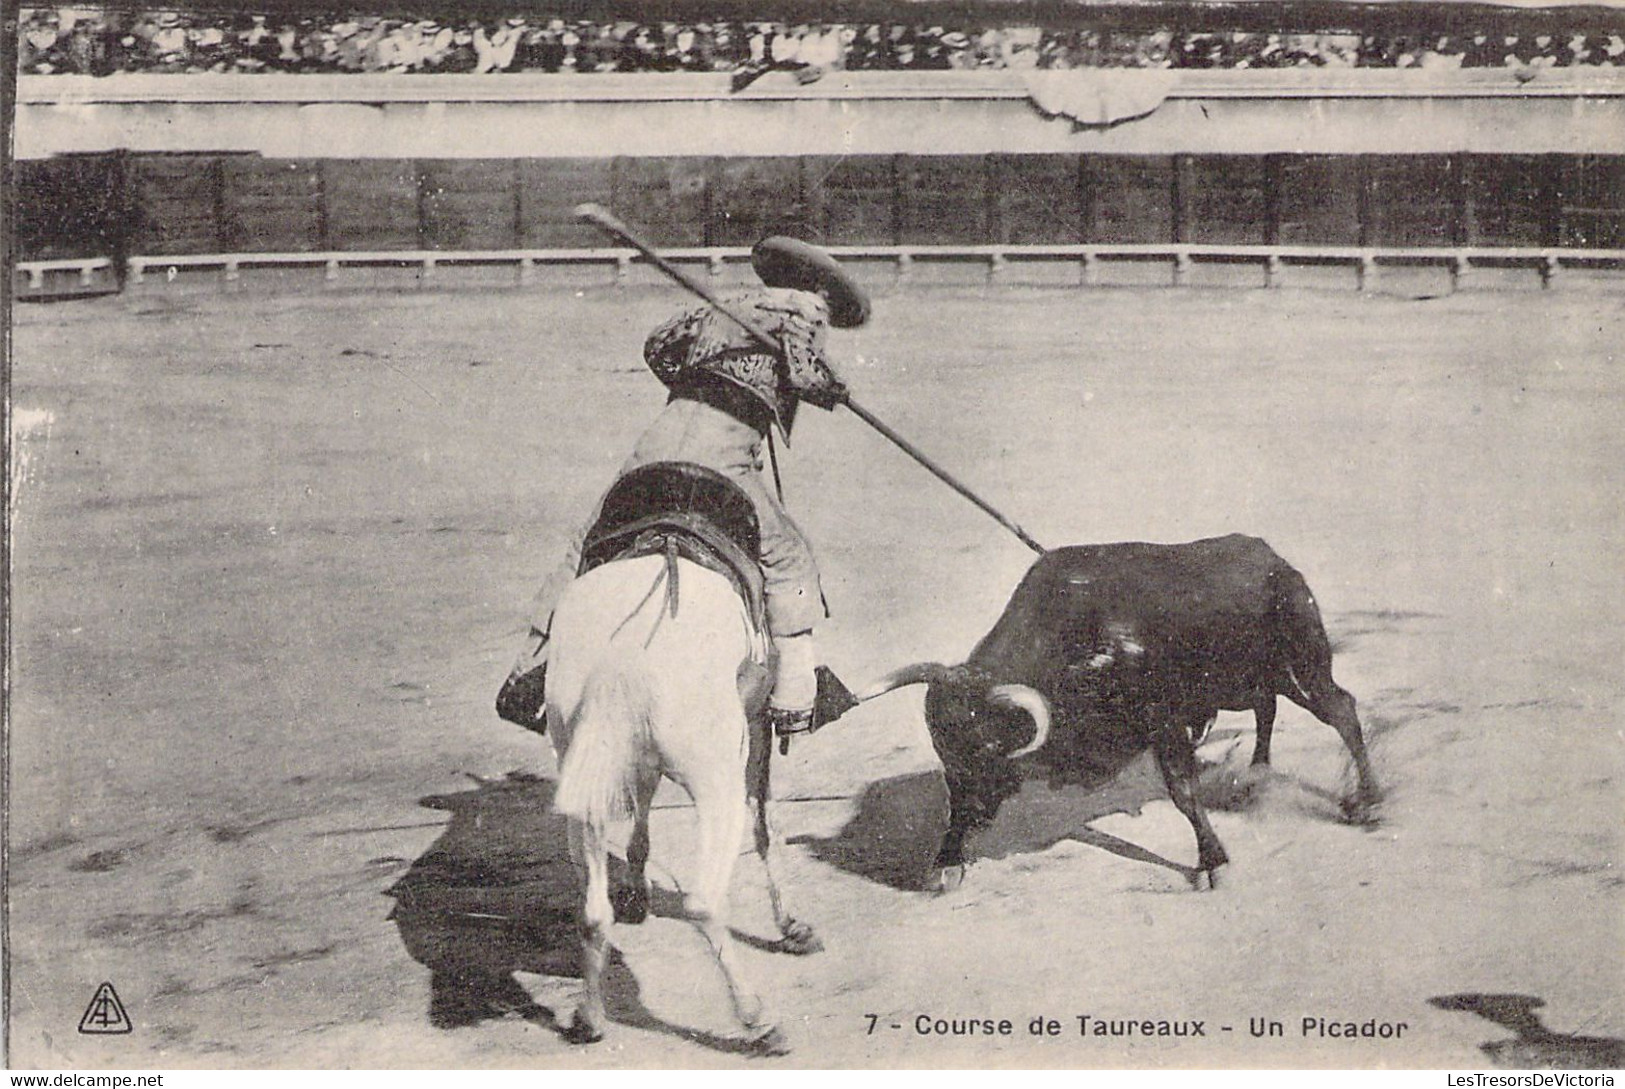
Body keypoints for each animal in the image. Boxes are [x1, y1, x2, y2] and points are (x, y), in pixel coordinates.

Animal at [549, 555, 812, 1059]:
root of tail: (625, 654)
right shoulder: (758, 723)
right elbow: (767, 824)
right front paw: (791, 924)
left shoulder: (636, 760)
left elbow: (642, 806)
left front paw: (636, 889)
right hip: (718, 786)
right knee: (703, 903)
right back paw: (759, 1020)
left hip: (582, 782)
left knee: (592, 913)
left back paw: (589, 1017)